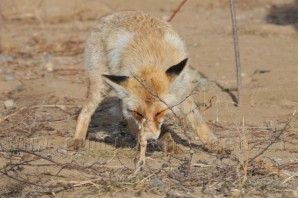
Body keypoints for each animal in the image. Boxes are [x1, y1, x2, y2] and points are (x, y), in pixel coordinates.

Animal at [67, 10, 217, 174]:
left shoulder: (182, 91)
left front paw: (214, 145)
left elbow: (198, 122)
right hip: (100, 85)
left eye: (159, 112)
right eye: (139, 113)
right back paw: (78, 139)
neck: (150, 61)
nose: (150, 138)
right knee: (86, 112)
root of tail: (110, 16)